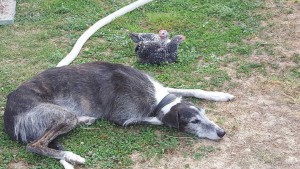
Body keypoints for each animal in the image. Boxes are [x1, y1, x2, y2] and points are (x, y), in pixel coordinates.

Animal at [4, 61, 234, 168]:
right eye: (194, 121)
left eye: (204, 114)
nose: (222, 133)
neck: (157, 98)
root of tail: (8, 117)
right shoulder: (122, 117)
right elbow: (156, 119)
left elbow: (189, 89)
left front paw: (220, 95)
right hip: (62, 116)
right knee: (35, 146)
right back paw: (72, 155)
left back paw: (86, 120)